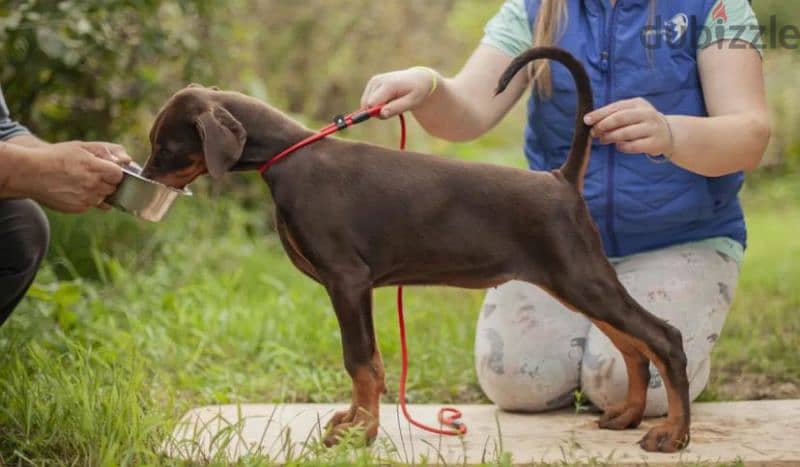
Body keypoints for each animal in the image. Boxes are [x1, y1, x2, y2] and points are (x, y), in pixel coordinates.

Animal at [142, 48, 688, 454]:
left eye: (165, 147)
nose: (141, 178)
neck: (288, 158)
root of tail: (560, 179)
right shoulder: (354, 288)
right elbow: (373, 361)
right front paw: (355, 422)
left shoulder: (347, 280)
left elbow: (359, 362)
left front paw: (360, 434)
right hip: (573, 282)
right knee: (630, 345)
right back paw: (627, 416)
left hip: (580, 276)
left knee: (663, 337)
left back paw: (673, 434)